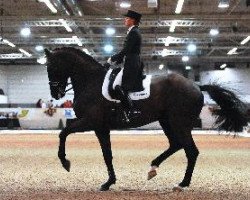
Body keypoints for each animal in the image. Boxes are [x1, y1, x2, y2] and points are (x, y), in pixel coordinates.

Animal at [45, 47, 248, 192]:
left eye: (51, 67)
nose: (56, 94)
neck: (90, 82)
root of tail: (197, 86)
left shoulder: (90, 122)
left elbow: (63, 133)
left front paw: (65, 163)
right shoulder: (101, 128)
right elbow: (107, 154)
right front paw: (108, 183)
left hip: (179, 123)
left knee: (191, 151)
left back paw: (182, 183)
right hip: (167, 121)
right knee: (176, 144)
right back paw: (153, 168)